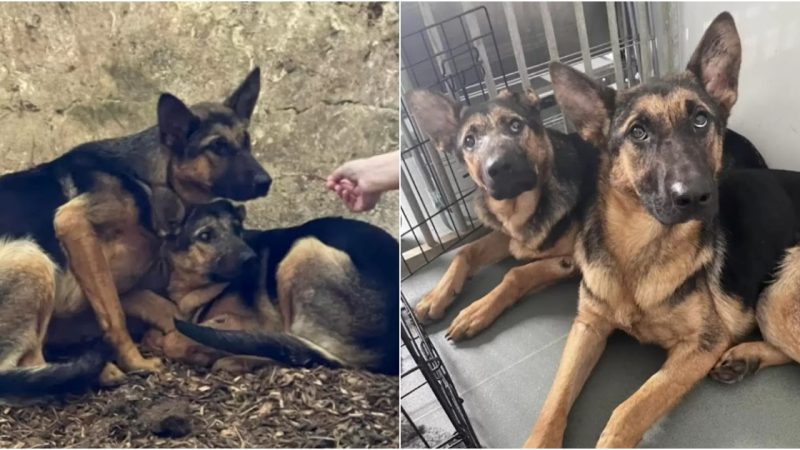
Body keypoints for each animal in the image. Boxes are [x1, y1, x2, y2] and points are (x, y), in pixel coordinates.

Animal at [136, 201, 400, 376]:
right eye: (205, 235)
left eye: (237, 230)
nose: (251, 259)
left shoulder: (255, 321)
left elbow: (175, 340)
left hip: (303, 249)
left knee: (299, 353)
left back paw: (236, 360)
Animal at [404, 87, 764, 342]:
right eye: (469, 141)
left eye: (515, 125)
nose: (500, 168)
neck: (529, 203)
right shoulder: (511, 236)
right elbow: (465, 251)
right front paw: (437, 296)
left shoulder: (573, 260)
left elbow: (516, 274)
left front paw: (474, 311)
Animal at [524, 13, 800, 446]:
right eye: (638, 132)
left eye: (701, 120)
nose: (697, 195)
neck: (639, 254)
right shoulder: (588, 324)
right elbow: (553, 403)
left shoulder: (699, 347)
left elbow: (626, 412)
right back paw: (745, 358)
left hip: (777, 298)